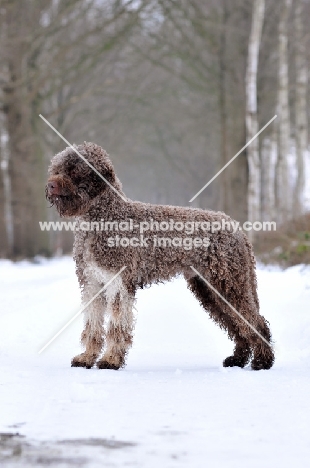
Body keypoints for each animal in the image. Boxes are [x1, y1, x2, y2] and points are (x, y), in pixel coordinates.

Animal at [45, 142, 274, 370]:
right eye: (57, 169)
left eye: (75, 170)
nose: (51, 185)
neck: (106, 218)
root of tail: (237, 228)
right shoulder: (92, 283)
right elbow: (92, 324)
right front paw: (87, 357)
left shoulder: (119, 283)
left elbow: (117, 326)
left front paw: (111, 359)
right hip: (209, 288)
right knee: (237, 325)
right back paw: (238, 359)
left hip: (229, 284)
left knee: (254, 322)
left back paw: (262, 360)